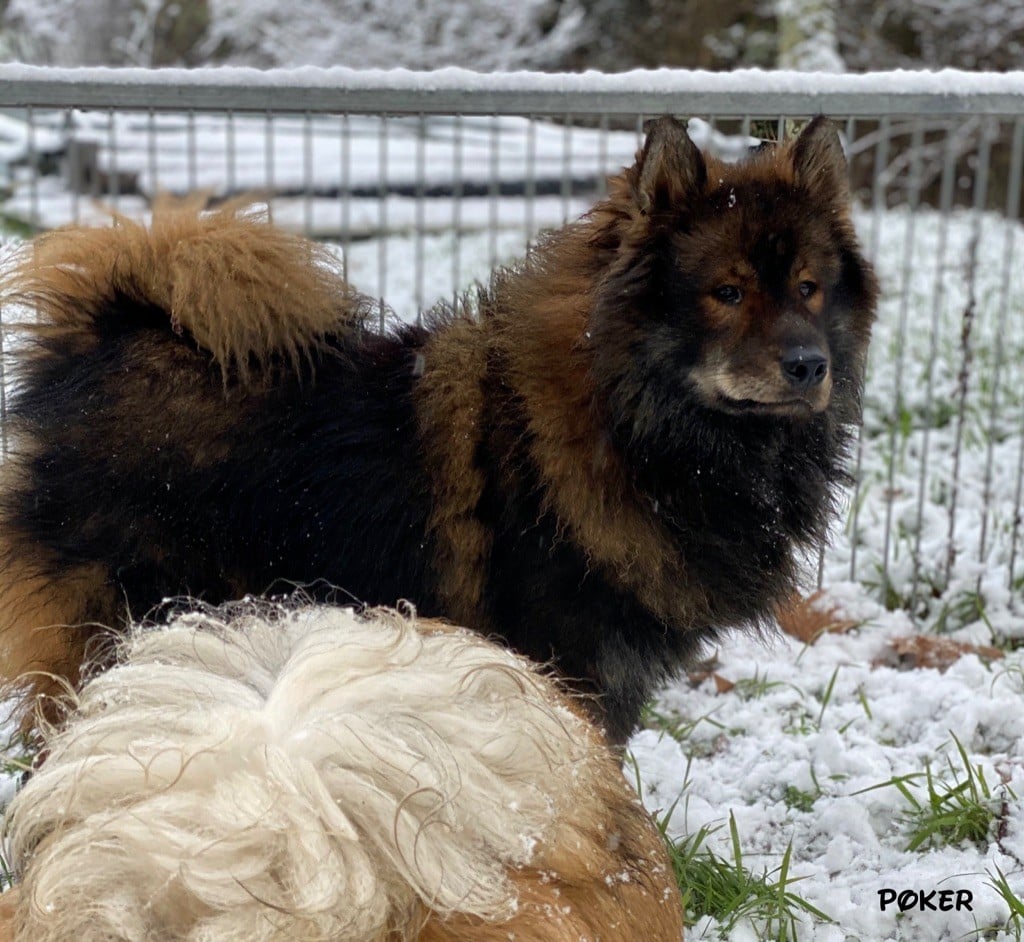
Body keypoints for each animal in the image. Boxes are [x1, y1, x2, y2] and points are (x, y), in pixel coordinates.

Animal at [2, 117, 880, 741]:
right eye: (727, 293)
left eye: (808, 288)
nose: (808, 366)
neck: (629, 424)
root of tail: (105, 339)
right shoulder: (566, 661)